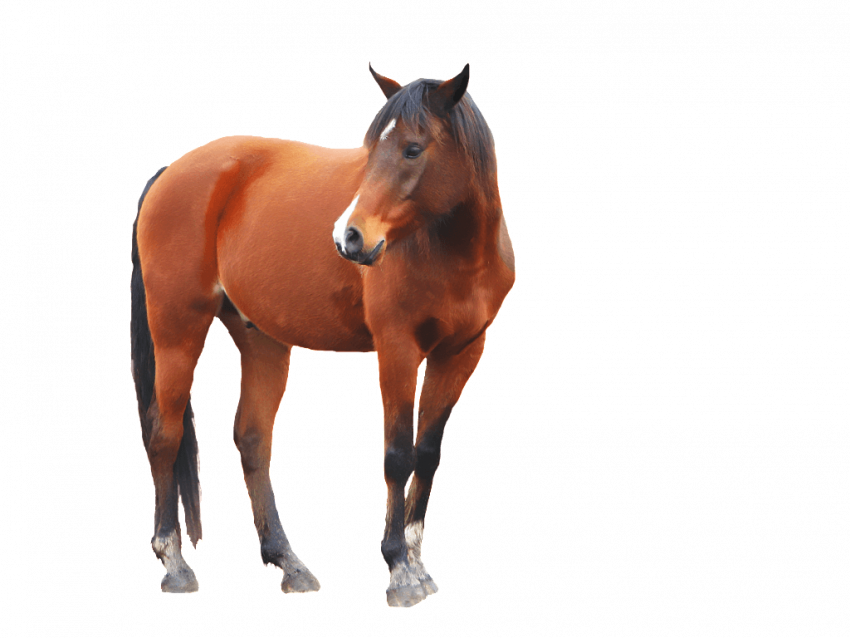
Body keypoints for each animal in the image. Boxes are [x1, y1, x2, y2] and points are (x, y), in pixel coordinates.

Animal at [130, 63, 515, 608]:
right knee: (165, 432)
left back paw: (285, 561)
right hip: (178, 327)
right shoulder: (397, 349)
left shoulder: (459, 353)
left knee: (251, 436)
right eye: (372, 150)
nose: (349, 237)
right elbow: (399, 454)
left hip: (261, 338)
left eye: (413, 149)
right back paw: (175, 562)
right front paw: (399, 567)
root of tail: (171, 173)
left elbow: (427, 452)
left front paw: (416, 560)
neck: (447, 250)